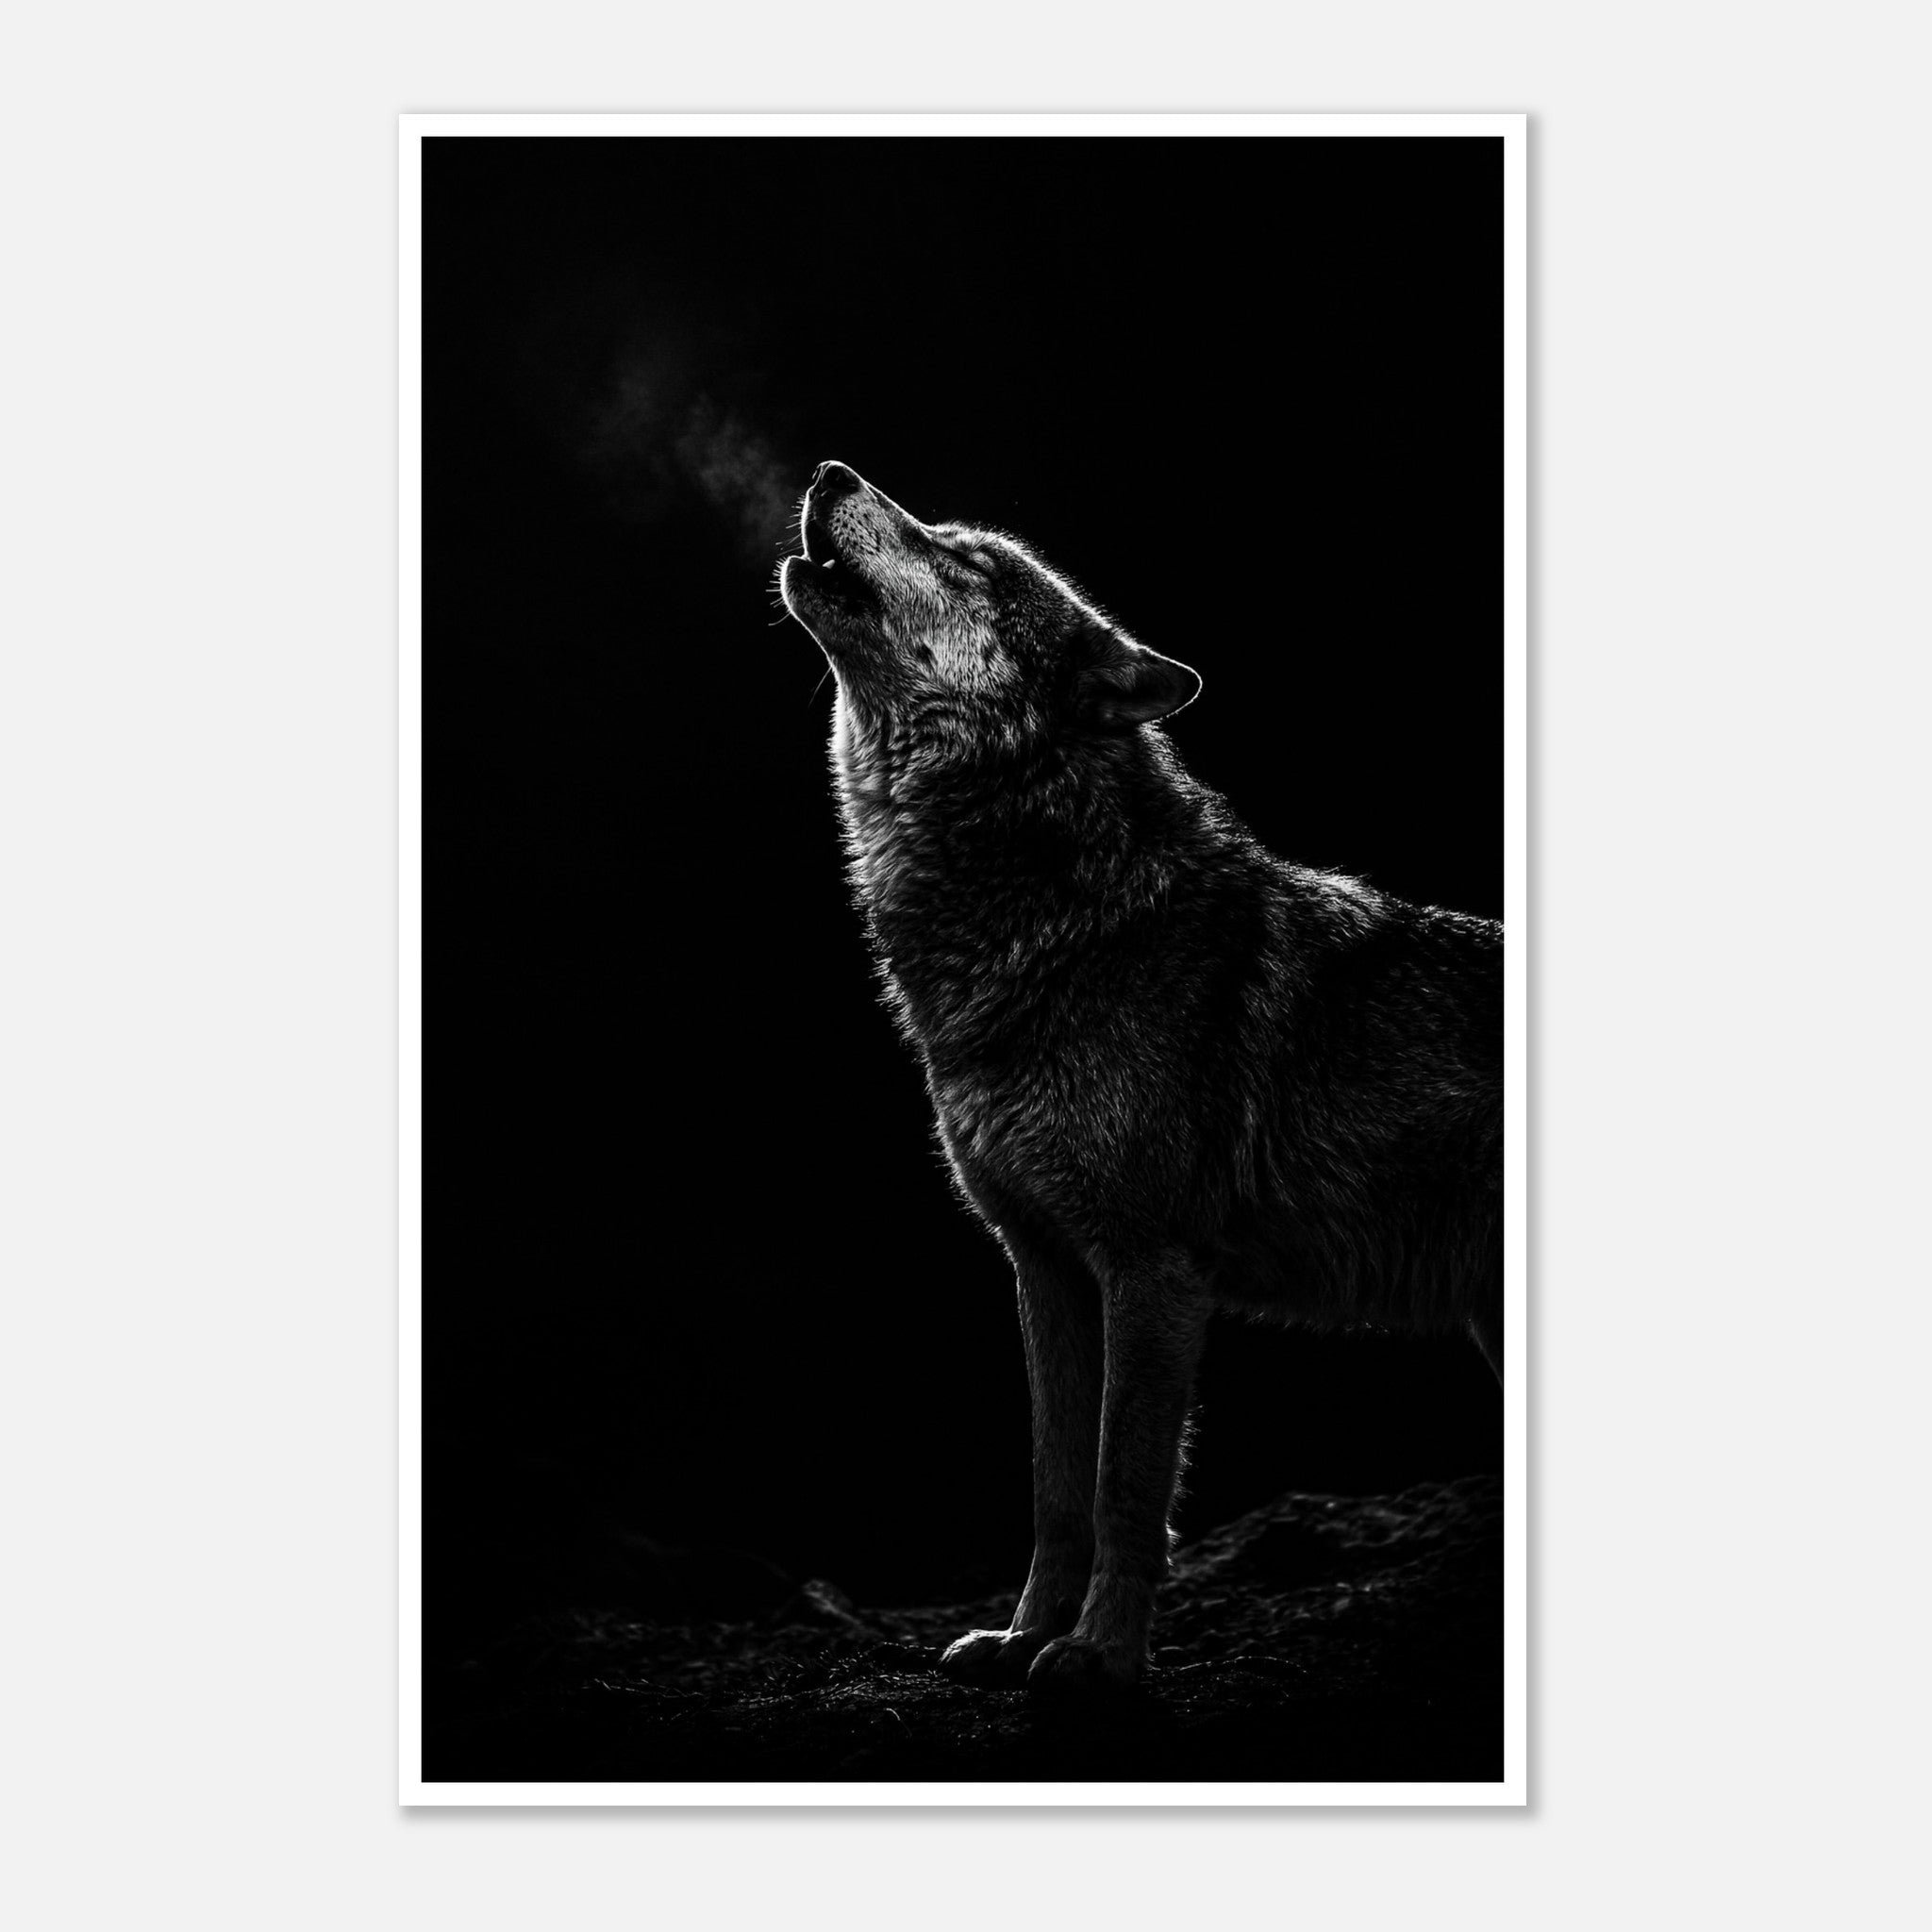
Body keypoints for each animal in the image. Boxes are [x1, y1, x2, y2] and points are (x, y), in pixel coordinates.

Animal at [779, 461, 1502, 1691]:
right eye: (945, 535)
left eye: (967, 559)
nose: (831, 471)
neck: (1065, 926)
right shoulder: (1042, 1265)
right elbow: (1057, 1487)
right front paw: (1023, 1636)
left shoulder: (1151, 1268)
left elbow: (1126, 1482)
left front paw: (1101, 1656)